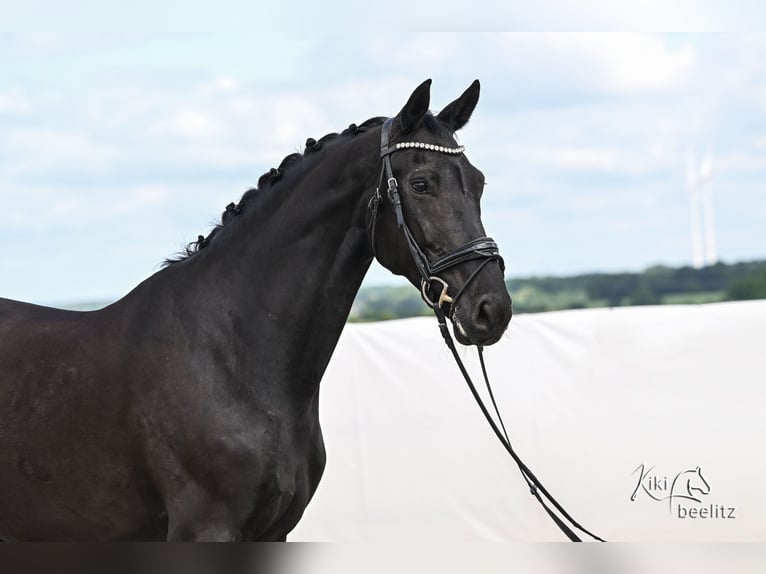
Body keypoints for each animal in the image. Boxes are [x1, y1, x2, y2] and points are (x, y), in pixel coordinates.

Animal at [0, 80, 512, 541]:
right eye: (421, 184)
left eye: (479, 182)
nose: (493, 309)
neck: (230, 356)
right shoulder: (205, 530)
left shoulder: (274, 532)